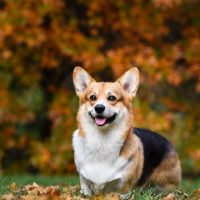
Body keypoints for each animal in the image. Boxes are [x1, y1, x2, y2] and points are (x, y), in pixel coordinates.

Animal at [72, 67, 181, 195]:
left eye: (112, 98)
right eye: (92, 97)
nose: (99, 108)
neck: (102, 141)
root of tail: (166, 140)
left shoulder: (123, 189)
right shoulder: (84, 182)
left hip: (165, 185)